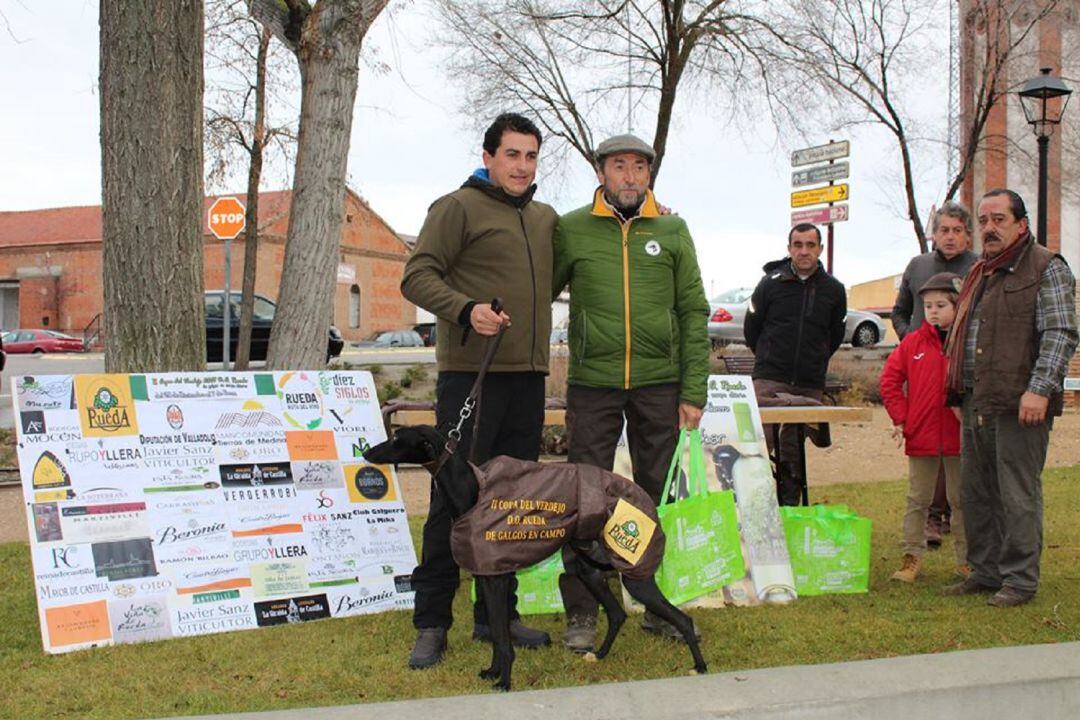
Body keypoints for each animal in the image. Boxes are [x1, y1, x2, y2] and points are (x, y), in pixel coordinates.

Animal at [362, 427, 708, 690]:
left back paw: (700, 667)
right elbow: (496, 634)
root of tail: (646, 502)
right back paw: (599, 655)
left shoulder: (496, 581)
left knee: (683, 619)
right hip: (589, 571)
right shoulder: (487, 576)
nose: (366, 453)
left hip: (636, 578)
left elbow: (503, 640)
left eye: (397, 438)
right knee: (617, 614)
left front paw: (503, 681)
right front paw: (492, 672)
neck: (473, 491)